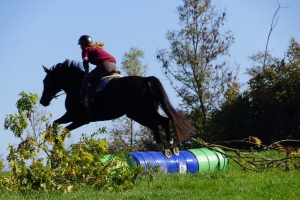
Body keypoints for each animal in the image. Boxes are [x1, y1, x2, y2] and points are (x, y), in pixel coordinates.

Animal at [39, 59, 195, 155]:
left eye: (46, 81)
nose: (43, 101)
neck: (75, 86)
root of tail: (146, 80)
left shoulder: (79, 118)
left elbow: (61, 128)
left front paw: (56, 144)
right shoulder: (74, 117)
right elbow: (56, 124)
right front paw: (53, 142)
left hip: (137, 113)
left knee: (154, 124)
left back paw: (161, 147)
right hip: (148, 110)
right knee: (164, 120)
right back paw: (170, 146)